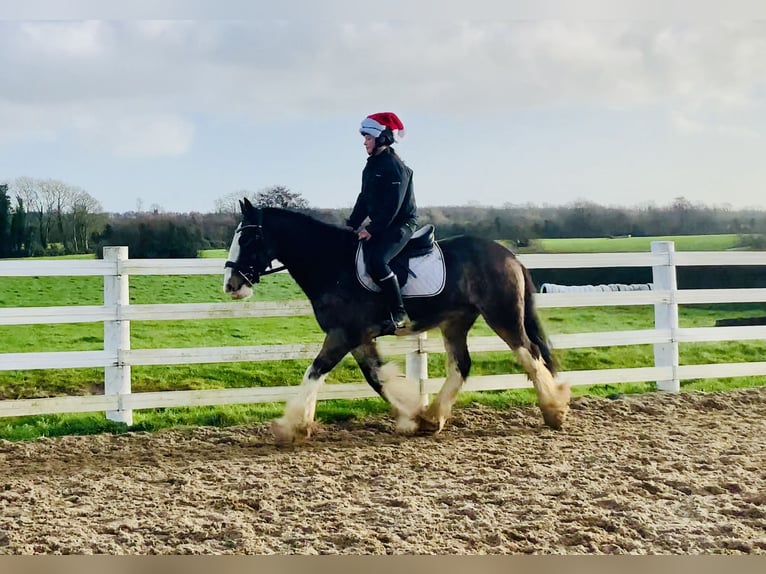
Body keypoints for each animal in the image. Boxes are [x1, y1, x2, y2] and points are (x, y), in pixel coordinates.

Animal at [223, 198, 571, 443]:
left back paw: (554, 411)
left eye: (249, 239)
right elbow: (375, 377)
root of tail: (509, 256)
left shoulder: (344, 334)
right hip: (455, 322)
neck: (331, 264)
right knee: (462, 365)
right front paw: (410, 416)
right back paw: (433, 418)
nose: (231, 284)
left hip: (503, 316)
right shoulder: (358, 338)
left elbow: (317, 370)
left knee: (529, 354)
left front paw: (289, 425)